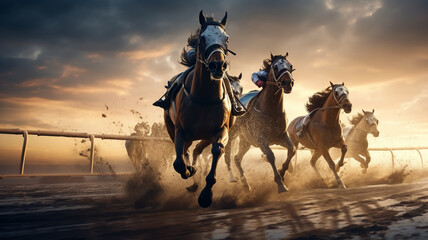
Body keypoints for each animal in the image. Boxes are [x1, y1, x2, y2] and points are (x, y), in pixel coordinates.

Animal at [165, 11, 234, 207]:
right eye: (202, 38)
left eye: (226, 38)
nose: (217, 65)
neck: (205, 97)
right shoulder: (180, 129)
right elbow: (179, 163)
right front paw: (189, 170)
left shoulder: (221, 130)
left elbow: (217, 150)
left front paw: (206, 194)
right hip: (172, 128)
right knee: (186, 151)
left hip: (205, 136)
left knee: (196, 149)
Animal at [222, 53, 296, 192]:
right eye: (275, 67)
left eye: (290, 66)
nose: (287, 83)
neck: (271, 110)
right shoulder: (261, 139)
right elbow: (270, 155)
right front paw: (280, 184)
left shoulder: (282, 136)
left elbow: (292, 150)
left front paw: (282, 172)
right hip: (234, 135)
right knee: (229, 154)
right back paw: (234, 178)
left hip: (246, 141)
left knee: (237, 158)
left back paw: (245, 183)